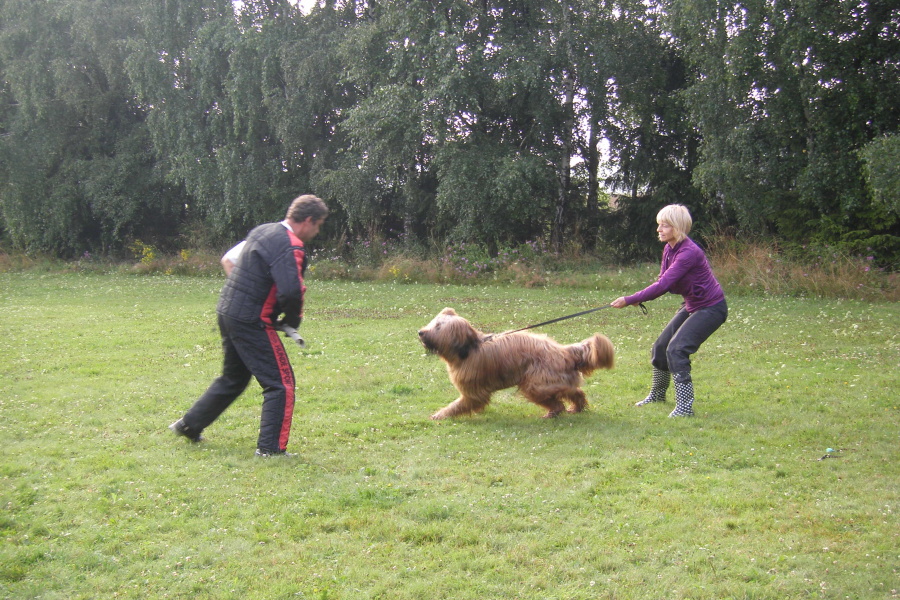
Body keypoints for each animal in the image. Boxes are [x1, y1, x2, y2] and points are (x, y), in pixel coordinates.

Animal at [418, 308, 616, 420]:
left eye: (438, 327)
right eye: (434, 323)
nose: (420, 332)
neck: (468, 349)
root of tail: (564, 350)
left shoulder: (473, 391)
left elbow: (461, 404)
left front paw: (441, 414)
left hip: (537, 384)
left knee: (558, 402)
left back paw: (552, 414)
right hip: (555, 380)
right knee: (575, 392)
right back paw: (577, 408)